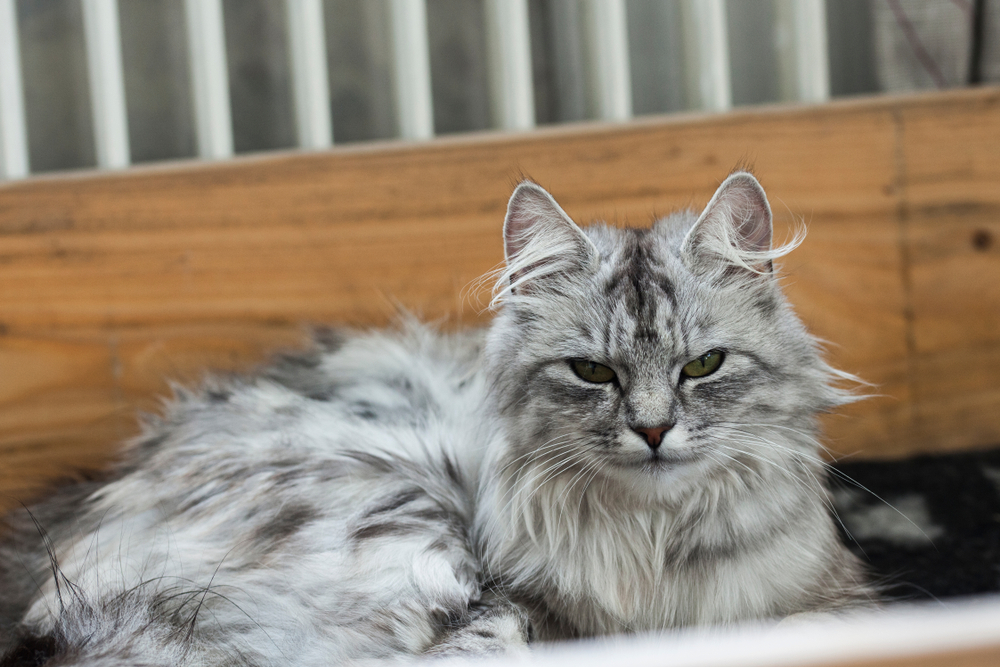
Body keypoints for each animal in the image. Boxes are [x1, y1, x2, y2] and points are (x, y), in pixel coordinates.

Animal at [0, 174, 872, 667]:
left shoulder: (830, 599)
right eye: (593, 371)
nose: (654, 431)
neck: (651, 550)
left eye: (703, 366)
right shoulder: (513, 602)